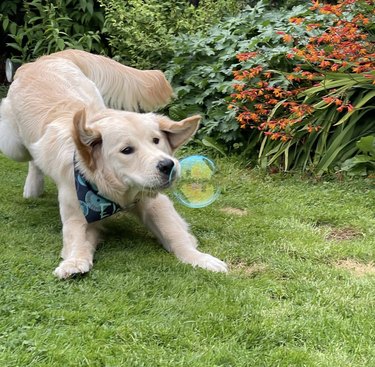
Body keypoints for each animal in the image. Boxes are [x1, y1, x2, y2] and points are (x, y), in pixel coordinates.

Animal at [0, 49, 229, 278]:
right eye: (126, 150)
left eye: (156, 140)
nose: (168, 165)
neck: (115, 191)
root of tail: (46, 58)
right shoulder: (78, 211)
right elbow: (76, 239)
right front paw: (74, 262)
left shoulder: (154, 202)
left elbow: (174, 233)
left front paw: (200, 258)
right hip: (14, 146)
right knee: (31, 158)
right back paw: (33, 186)